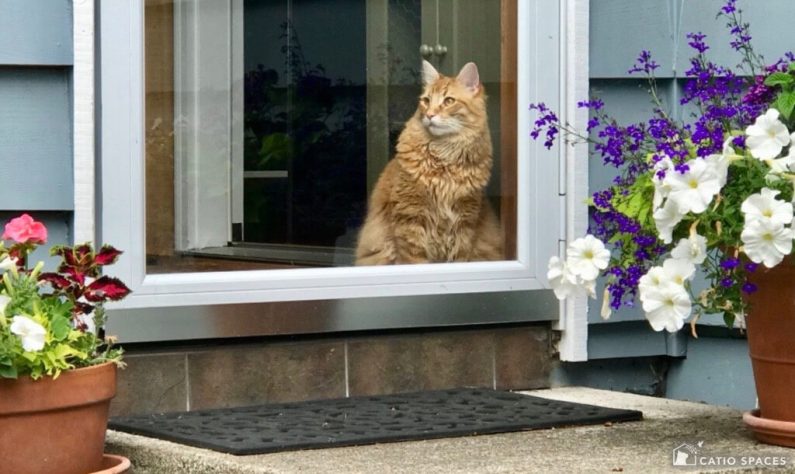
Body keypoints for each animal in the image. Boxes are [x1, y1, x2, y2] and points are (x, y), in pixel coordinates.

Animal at [356, 59, 500, 264]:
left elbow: (460, 258)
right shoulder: (410, 219)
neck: (444, 157)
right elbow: (414, 262)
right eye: (426, 101)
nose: (430, 115)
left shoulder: (465, 223)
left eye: (449, 101)